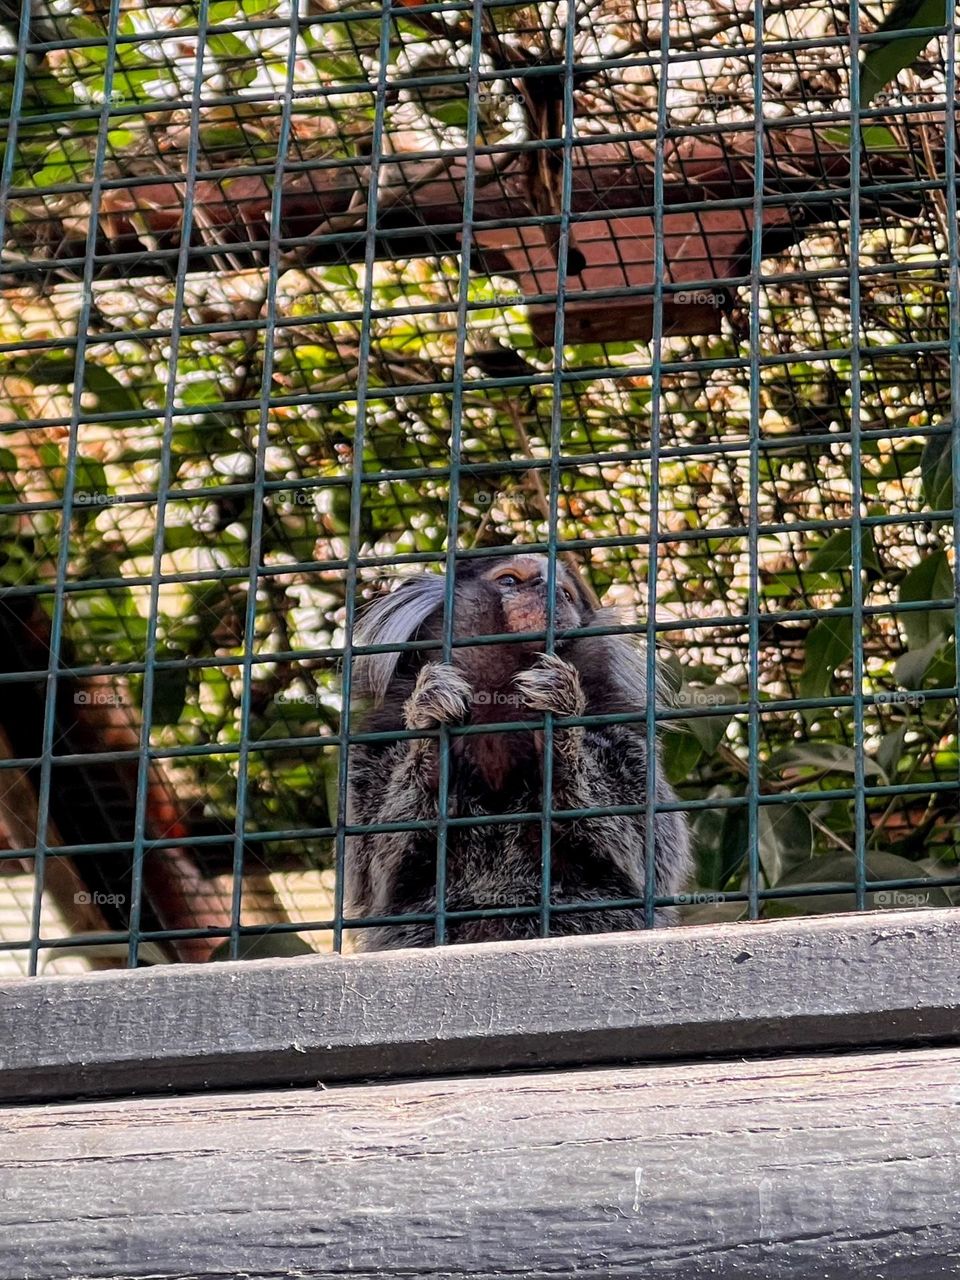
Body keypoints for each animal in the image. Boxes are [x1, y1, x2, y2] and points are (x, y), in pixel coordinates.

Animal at [345, 553, 690, 951]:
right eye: (509, 580)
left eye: (566, 593)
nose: (547, 587)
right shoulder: (377, 740)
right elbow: (376, 862)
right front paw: (432, 736)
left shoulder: (622, 729)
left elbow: (648, 847)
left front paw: (560, 726)